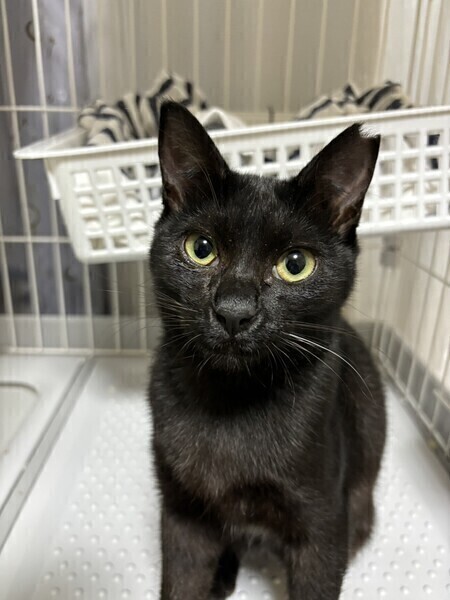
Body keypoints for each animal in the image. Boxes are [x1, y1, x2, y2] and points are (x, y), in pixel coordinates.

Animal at [149, 101, 386, 600]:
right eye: (201, 248)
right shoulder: (181, 513)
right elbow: (180, 582)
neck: (231, 402)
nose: (234, 311)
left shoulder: (323, 525)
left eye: (296, 264)